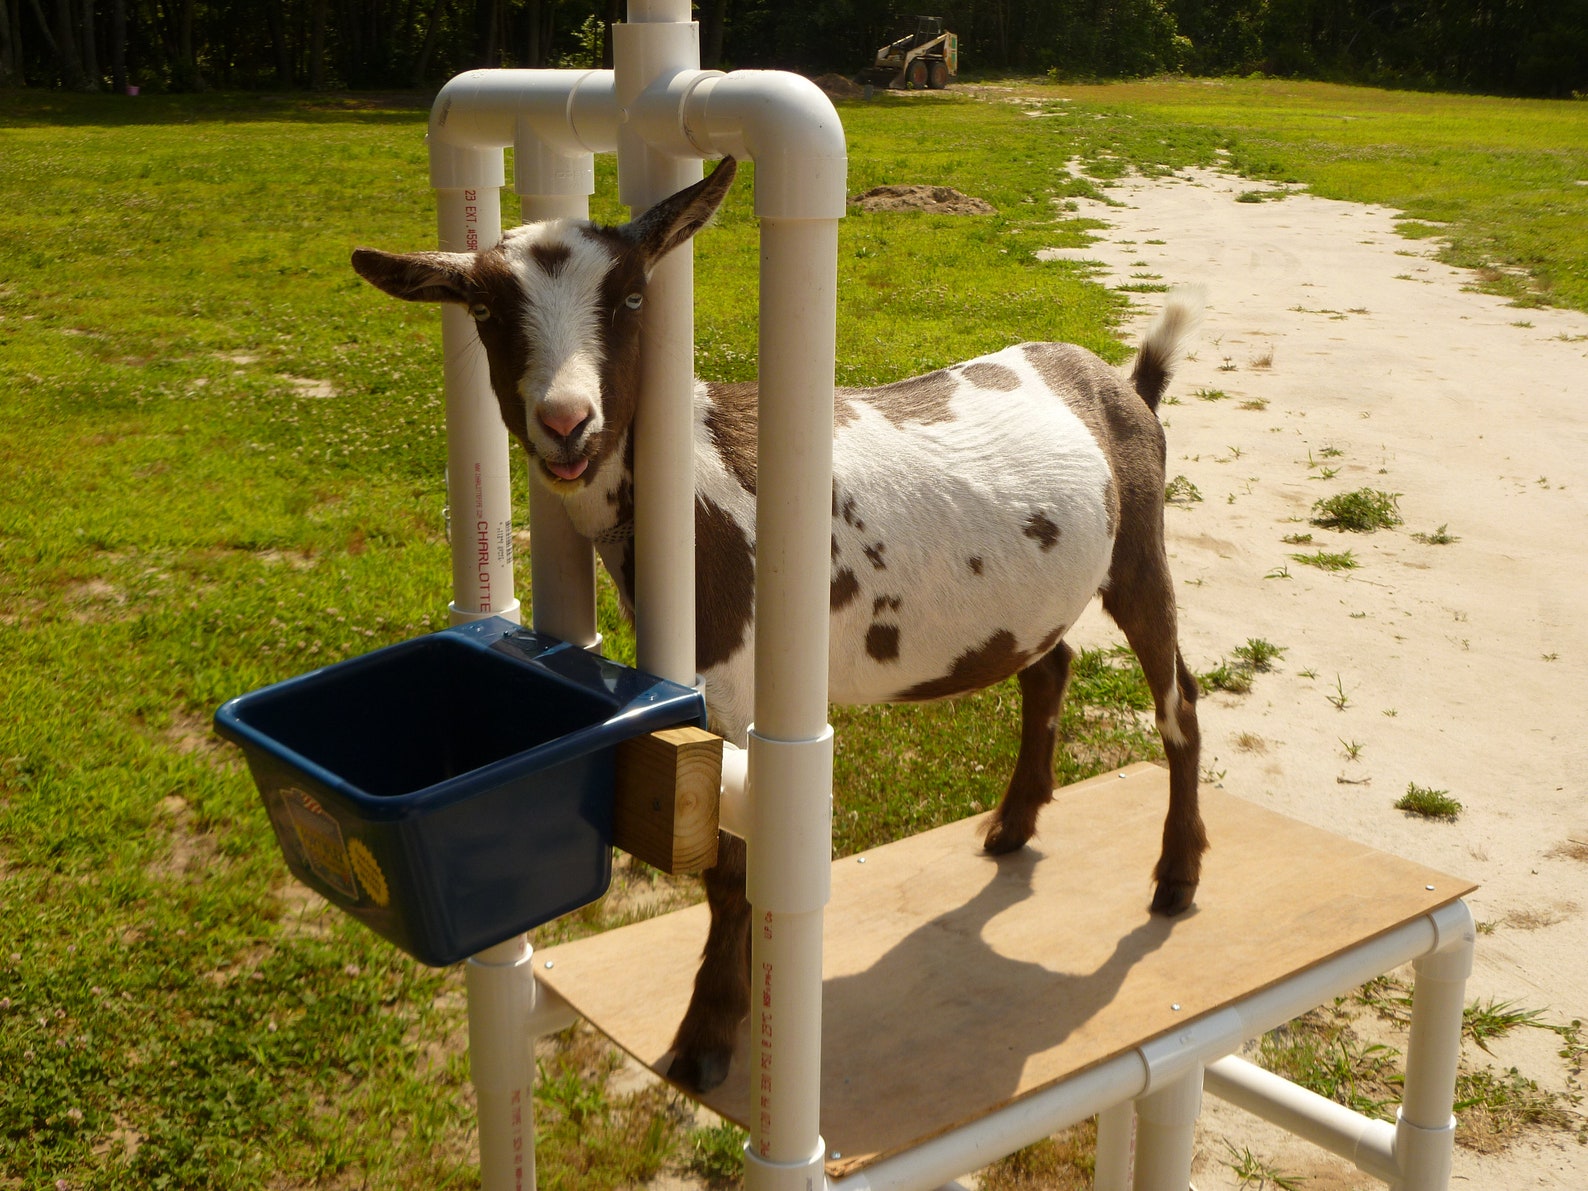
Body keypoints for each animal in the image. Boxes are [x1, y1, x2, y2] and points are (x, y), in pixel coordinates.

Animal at [352, 156, 1206, 1093]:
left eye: (631, 296)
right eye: (484, 310)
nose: (566, 422)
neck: (684, 485)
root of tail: (1127, 385)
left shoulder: (734, 689)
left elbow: (731, 871)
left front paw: (707, 1039)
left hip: (1140, 549)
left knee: (1178, 700)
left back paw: (1175, 878)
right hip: (1027, 601)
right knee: (1048, 667)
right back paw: (1012, 827)